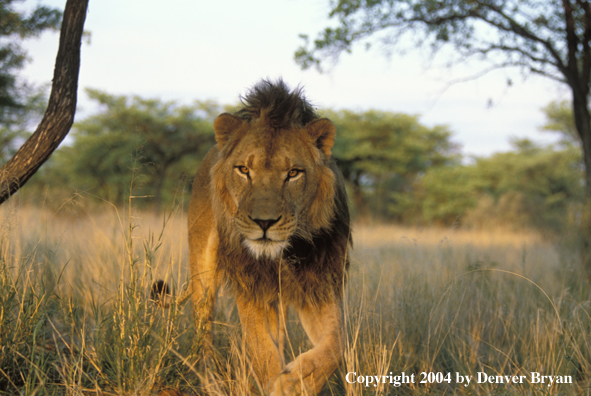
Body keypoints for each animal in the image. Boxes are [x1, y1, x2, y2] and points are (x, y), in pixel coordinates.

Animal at [188, 79, 352, 394]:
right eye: (243, 170)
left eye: (293, 173)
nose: (264, 222)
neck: (281, 255)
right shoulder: (251, 286)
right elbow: (261, 349)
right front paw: (280, 384)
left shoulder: (320, 286)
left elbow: (337, 345)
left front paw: (295, 381)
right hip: (202, 267)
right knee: (202, 328)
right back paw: (210, 380)